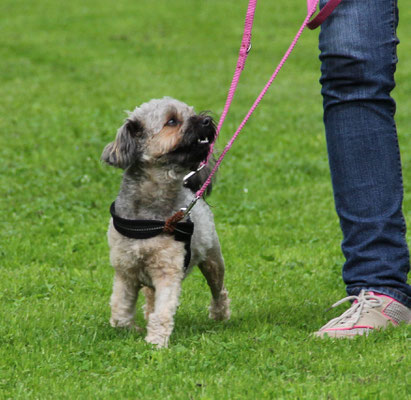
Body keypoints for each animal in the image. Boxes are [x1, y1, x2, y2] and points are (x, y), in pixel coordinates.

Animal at [101, 96, 232, 346]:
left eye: (191, 112)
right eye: (172, 121)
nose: (207, 120)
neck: (148, 216)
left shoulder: (168, 271)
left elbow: (163, 311)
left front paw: (156, 341)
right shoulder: (125, 271)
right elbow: (120, 310)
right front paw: (131, 329)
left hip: (213, 261)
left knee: (219, 290)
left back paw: (220, 315)